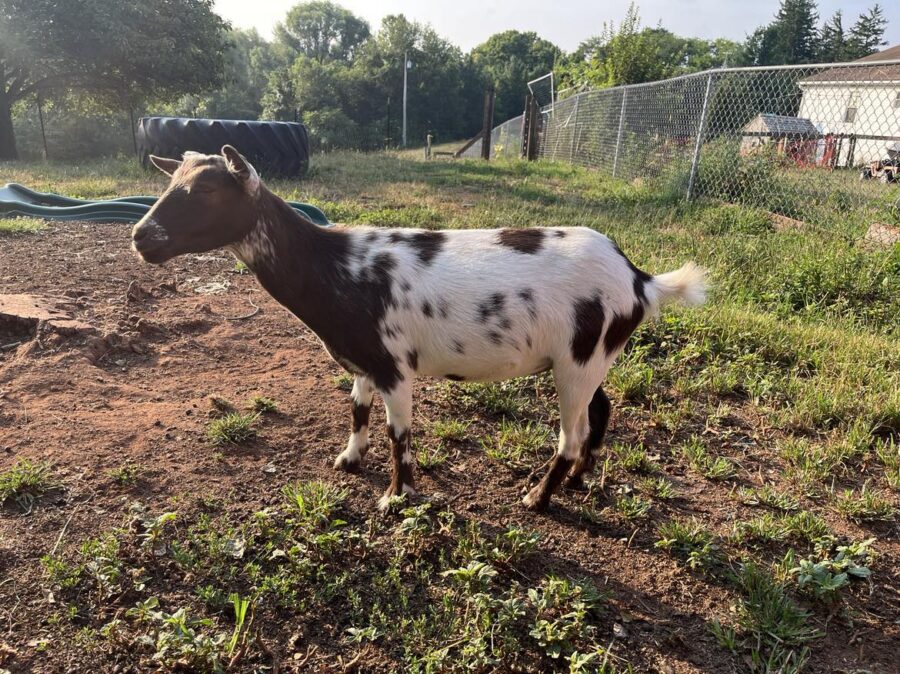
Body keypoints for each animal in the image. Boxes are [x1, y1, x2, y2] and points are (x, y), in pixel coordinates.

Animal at [132, 147, 712, 510]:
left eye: (207, 191)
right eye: (171, 183)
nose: (141, 236)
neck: (336, 266)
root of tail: (639, 279)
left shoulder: (395, 367)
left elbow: (399, 434)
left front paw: (396, 497)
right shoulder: (363, 362)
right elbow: (357, 409)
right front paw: (349, 460)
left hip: (578, 360)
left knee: (572, 435)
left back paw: (538, 498)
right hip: (589, 356)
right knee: (600, 412)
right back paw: (575, 480)